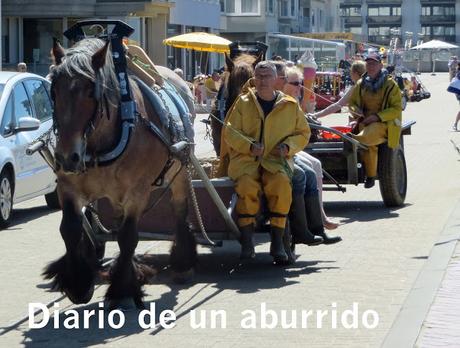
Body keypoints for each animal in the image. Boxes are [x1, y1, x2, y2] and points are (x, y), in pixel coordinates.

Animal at [46, 38, 196, 308]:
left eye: (90, 91)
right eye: (54, 91)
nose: (66, 157)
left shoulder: (137, 192)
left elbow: (128, 237)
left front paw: (122, 290)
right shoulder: (68, 188)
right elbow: (70, 229)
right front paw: (78, 283)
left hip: (179, 170)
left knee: (179, 209)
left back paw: (182, 264)